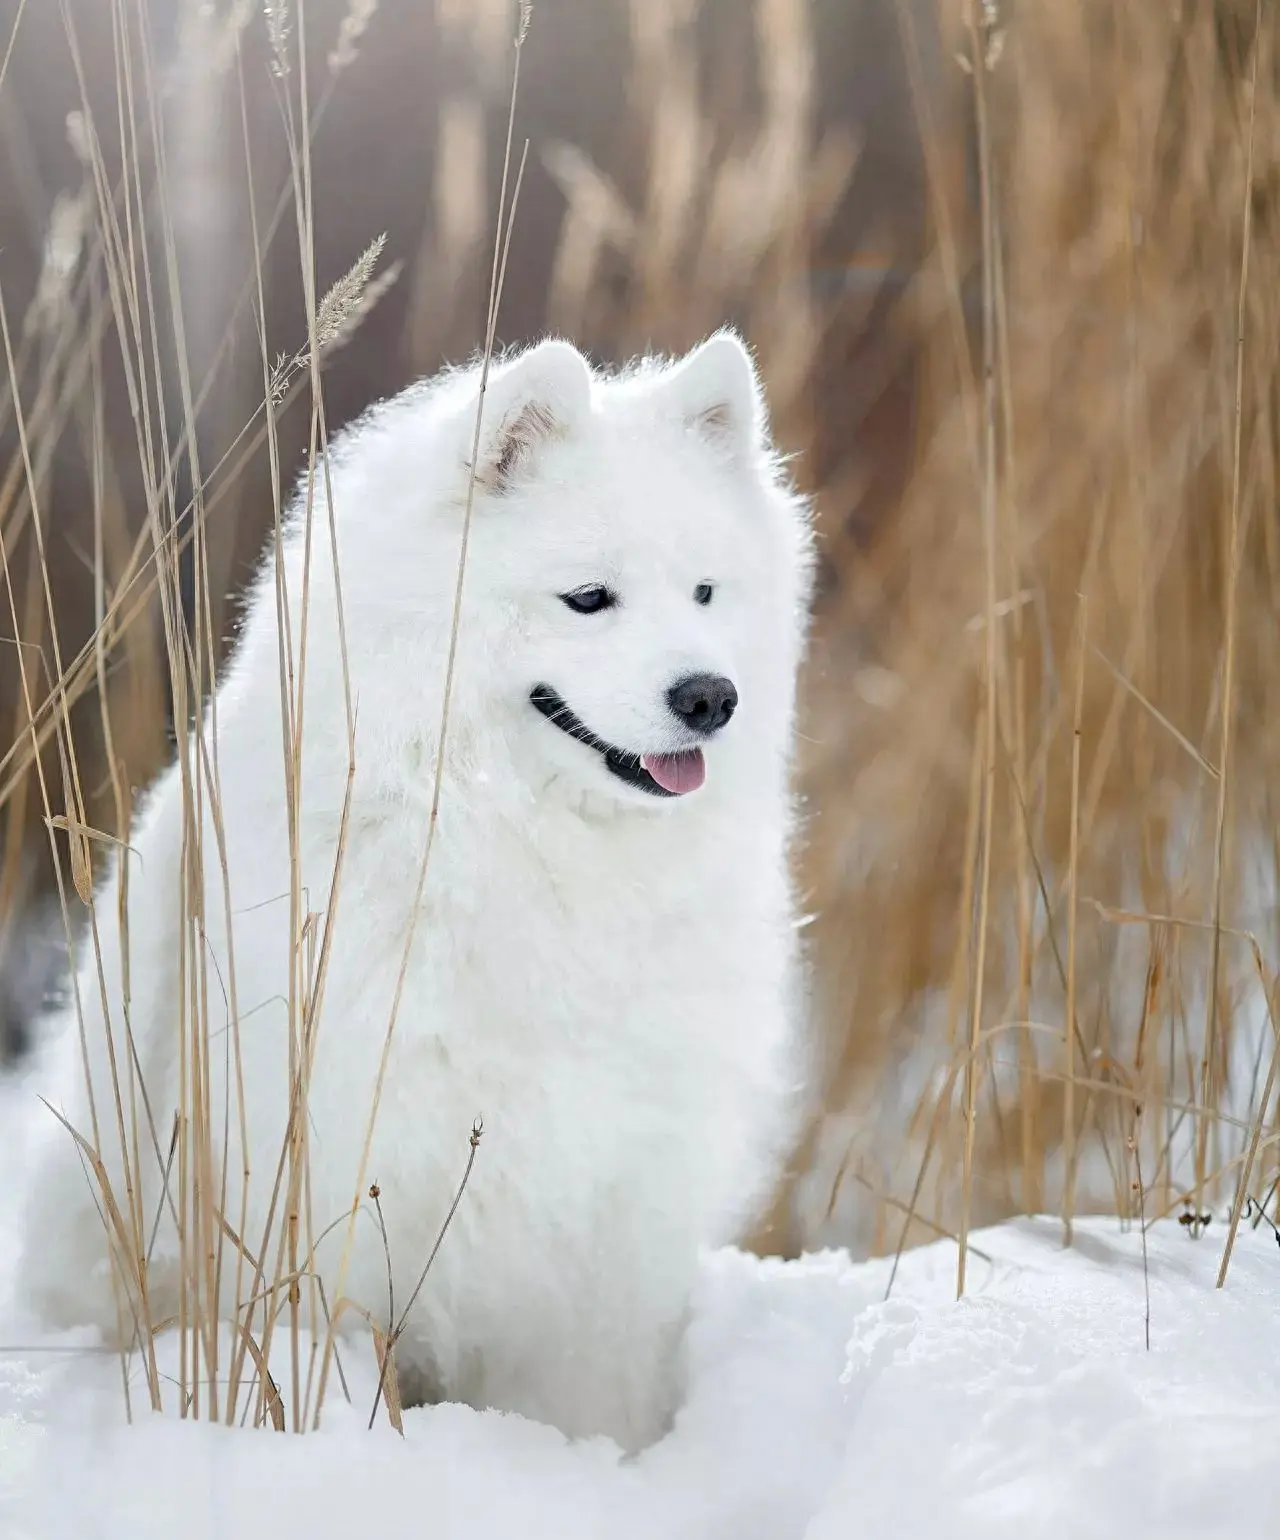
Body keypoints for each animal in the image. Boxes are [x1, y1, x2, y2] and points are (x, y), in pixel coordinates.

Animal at [15, 331, 813, 1447]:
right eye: (589, 597)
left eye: (705, 592)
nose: (710, 696)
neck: (519, 843)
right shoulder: (331, 1183)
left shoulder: (603, 1224)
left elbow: (583, 1397)